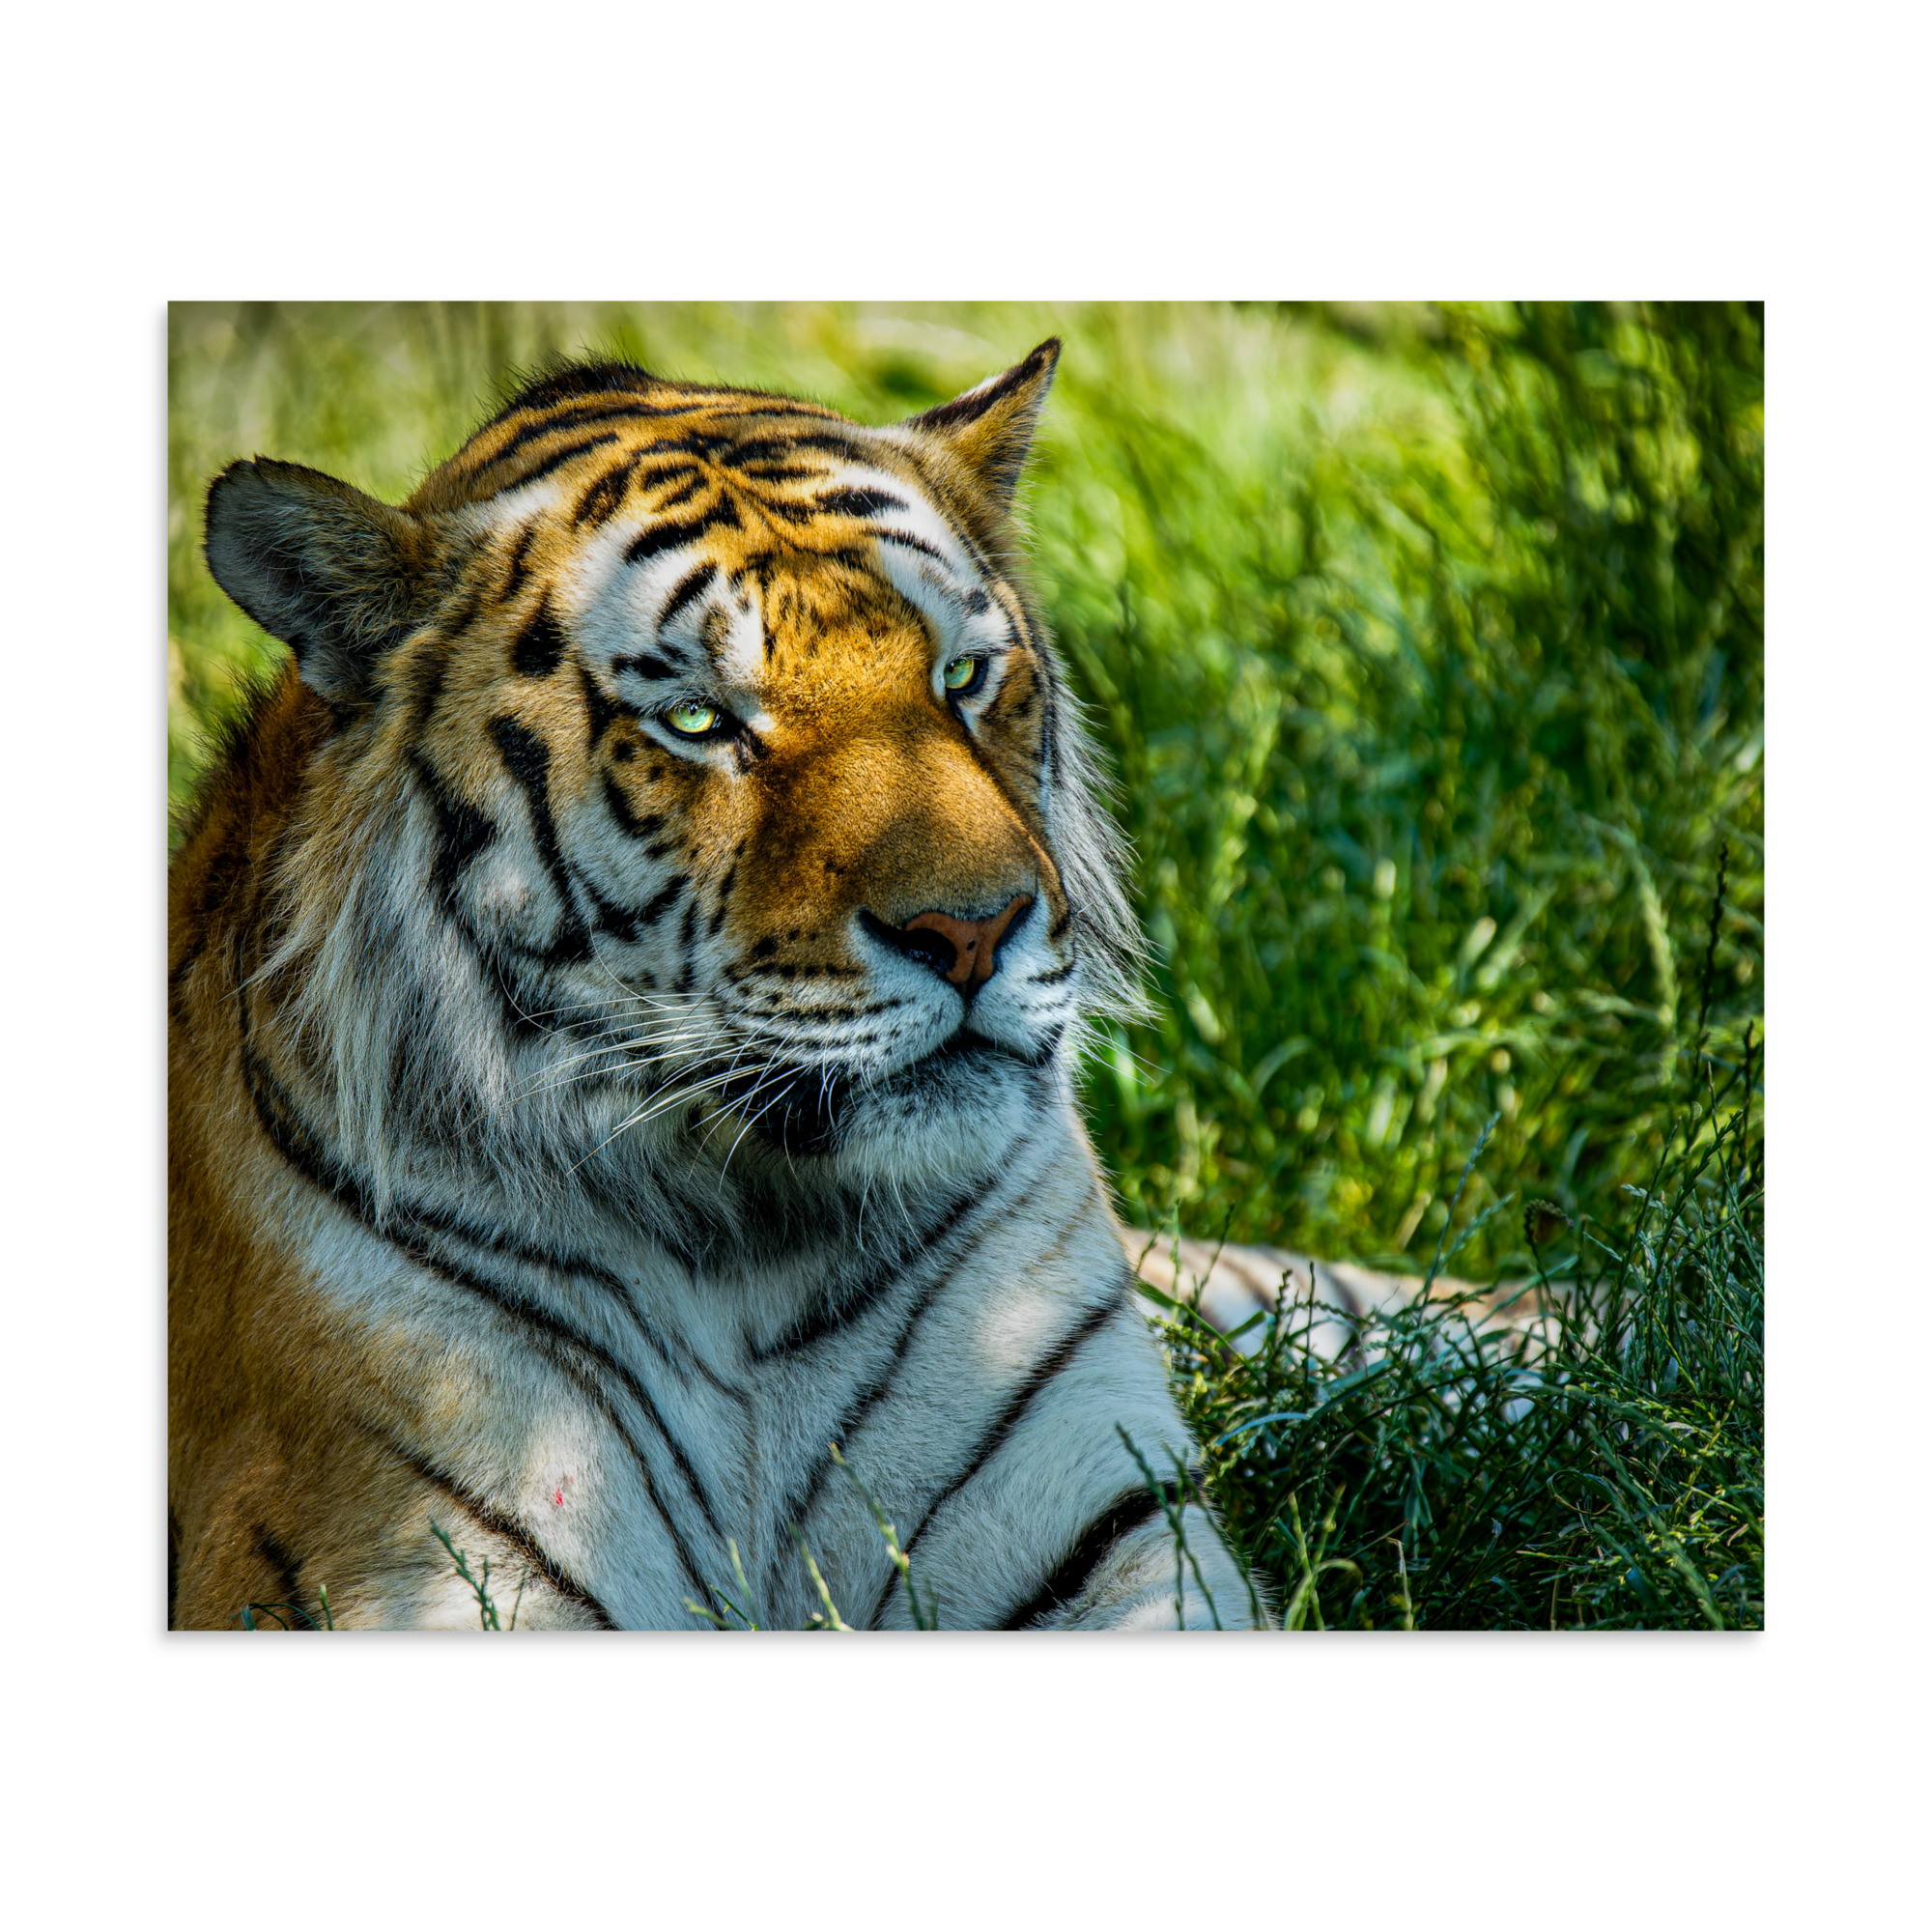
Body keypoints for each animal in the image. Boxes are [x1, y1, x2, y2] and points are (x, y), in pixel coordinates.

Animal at [169, 340, 1266, 1630]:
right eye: (698, 719)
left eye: (960, 676)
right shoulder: (407, 1560)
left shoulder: (1115, 1523)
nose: (974, 928)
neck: (752, 1252)